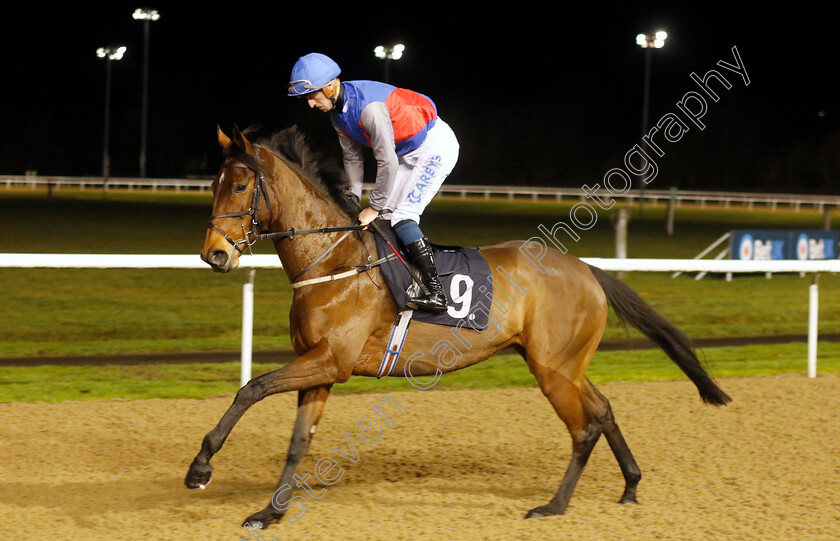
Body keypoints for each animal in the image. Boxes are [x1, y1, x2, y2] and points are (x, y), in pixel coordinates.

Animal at [185, 125, 728, 528]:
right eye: (212, 185)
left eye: (238, 186)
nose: (214, 254)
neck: (335, 262)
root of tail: (588, 269)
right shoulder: (320, 368)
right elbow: (299, 441)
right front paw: (269, 512)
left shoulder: (329, 360)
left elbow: (251, 388)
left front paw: (201, 468)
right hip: (562, 362)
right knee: (604, 409)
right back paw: (630, 484)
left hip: (554, 370)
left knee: (584, 426)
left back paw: (554, 505)